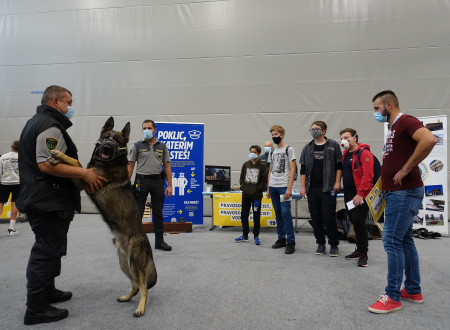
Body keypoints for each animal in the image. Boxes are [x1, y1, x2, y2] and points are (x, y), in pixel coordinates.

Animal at [47, 116, 156, 318]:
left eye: (117, 141)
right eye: (106, 137)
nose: (105, 147)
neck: (110, 163)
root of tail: (146, 243)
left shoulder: (87, 183)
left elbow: (75, 163)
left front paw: (58, 155)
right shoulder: (83, 181)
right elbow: (77, 164)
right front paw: (56, 158)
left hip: (135, 263)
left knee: (144, 288)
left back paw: (140, 308)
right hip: (124, 263)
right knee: (136, 286)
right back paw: (126, 297)